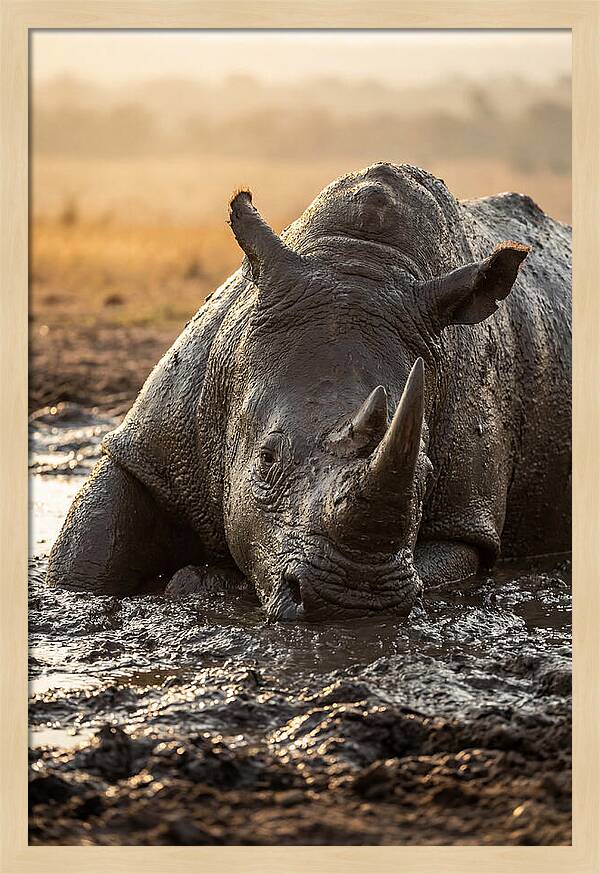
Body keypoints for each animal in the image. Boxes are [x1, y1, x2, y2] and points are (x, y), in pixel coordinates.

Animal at [47, 163, 571, 620]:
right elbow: (86, 554)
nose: (352, 600)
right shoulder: (150, 444)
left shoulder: (467, 519)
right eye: (266, 459)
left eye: (425, 472)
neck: (360, 261)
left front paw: (200, 582)